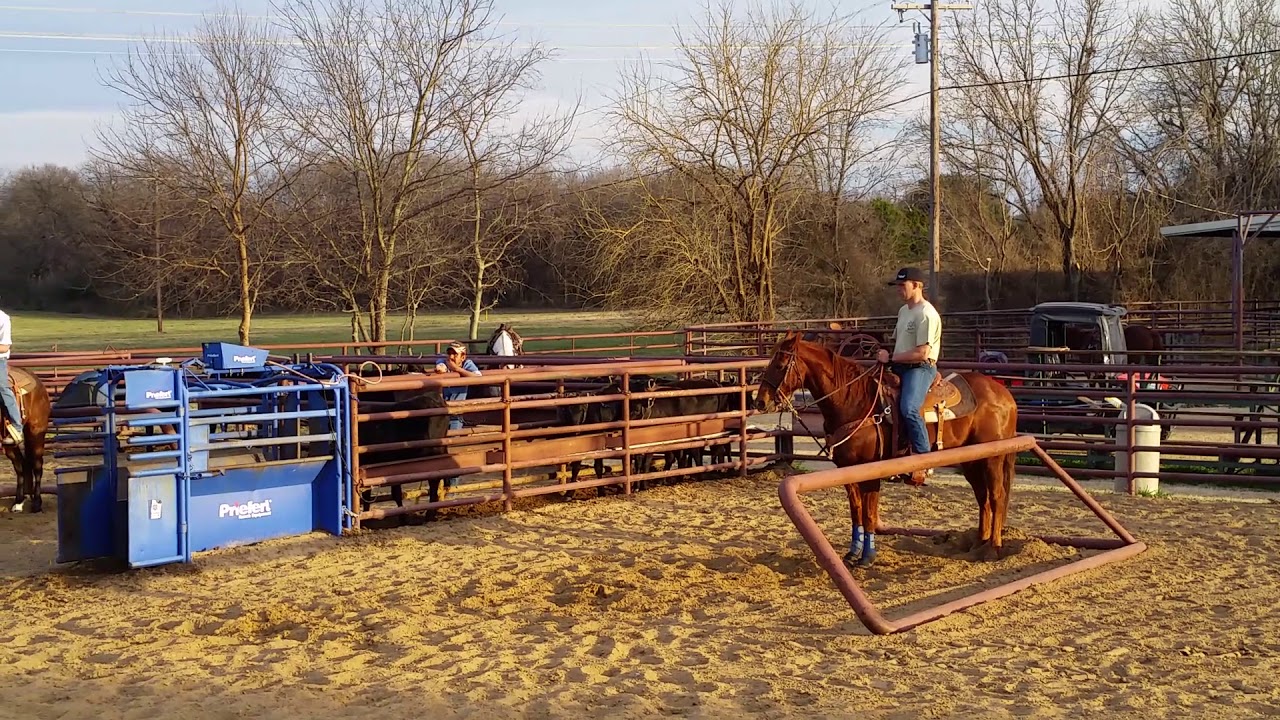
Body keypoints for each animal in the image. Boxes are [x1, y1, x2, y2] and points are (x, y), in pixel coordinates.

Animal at [753, 331, 1020, 567]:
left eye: (780, 364)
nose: (760, 401)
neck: (854, 402)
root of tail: (1004, 394)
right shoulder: (848, 471)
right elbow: (857, 512)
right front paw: (852, 554)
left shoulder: (871, 473)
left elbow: (869, 514)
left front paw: (867, 558)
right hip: (972, 461)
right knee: (983, 497)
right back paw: (979, 544)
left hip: (993, 458)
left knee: (997, 496)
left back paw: (992, 549)